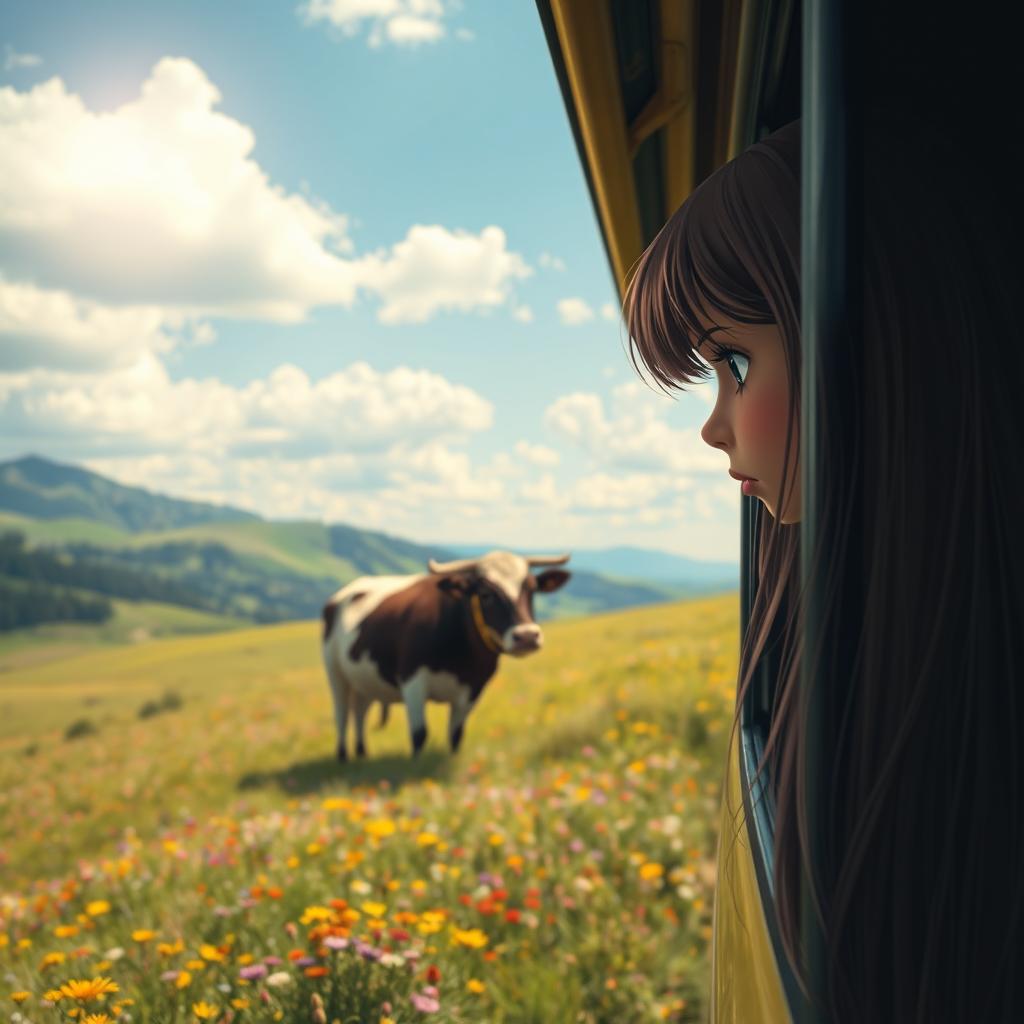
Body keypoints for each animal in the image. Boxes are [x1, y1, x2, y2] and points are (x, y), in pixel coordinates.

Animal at [321, 552, 569, 761]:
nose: (526, 636)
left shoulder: (473, 687)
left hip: (364, 679)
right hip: (335, 672)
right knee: (341, 713)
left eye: (532, 589)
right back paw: (343, 757)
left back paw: (362, 754)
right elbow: (419, 734)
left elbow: (456, 735)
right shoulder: (412, 680)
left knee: (360, 711)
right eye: (485, 594)